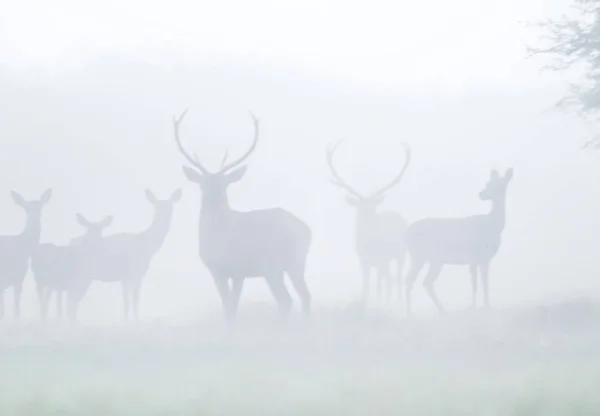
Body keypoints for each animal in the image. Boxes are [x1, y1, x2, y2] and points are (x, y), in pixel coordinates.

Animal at [86, 189, 180, 322]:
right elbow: (127, 302)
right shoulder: (127, 274)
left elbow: (135, 300)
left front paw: (136, 319)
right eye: (156, 208)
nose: (164, 220)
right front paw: (127, 321)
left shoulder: (138, 275)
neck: (146, 249)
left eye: (171, 208)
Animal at [169, 109, 310, 324]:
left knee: (286, 299)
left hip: (272, 265)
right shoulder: (230, 271)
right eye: (203, 183)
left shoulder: (226, 268)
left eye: (223, 184)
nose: (212, 196)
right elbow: (230, 306)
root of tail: (306, 230)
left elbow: (229, 306)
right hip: (296, 263)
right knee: (305, 295)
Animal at [326, 140, 410, 306]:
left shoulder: (382, 259)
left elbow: (381, 285)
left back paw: (398, 302)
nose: (367, 222)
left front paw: (382, 304)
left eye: (373, 208)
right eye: (360, 208)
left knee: (396, 278)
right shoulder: (363, 261)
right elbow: (366, 287)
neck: (369, 245)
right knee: (386, 280)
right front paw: (366, 302)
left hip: (400, 254)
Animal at [406, 167, 512, 314]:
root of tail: (406, 233)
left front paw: (488, 307)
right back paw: (411, 312)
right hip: (422, 256)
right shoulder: (473, 257)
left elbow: (485, 283)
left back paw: (440, 310)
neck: (493, 226)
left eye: (500, 185)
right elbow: (474, 284)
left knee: (421, 281)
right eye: (488, 183)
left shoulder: (485, 259)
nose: (482, 194)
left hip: (428, 259)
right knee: (414, 280)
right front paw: (473, 307)